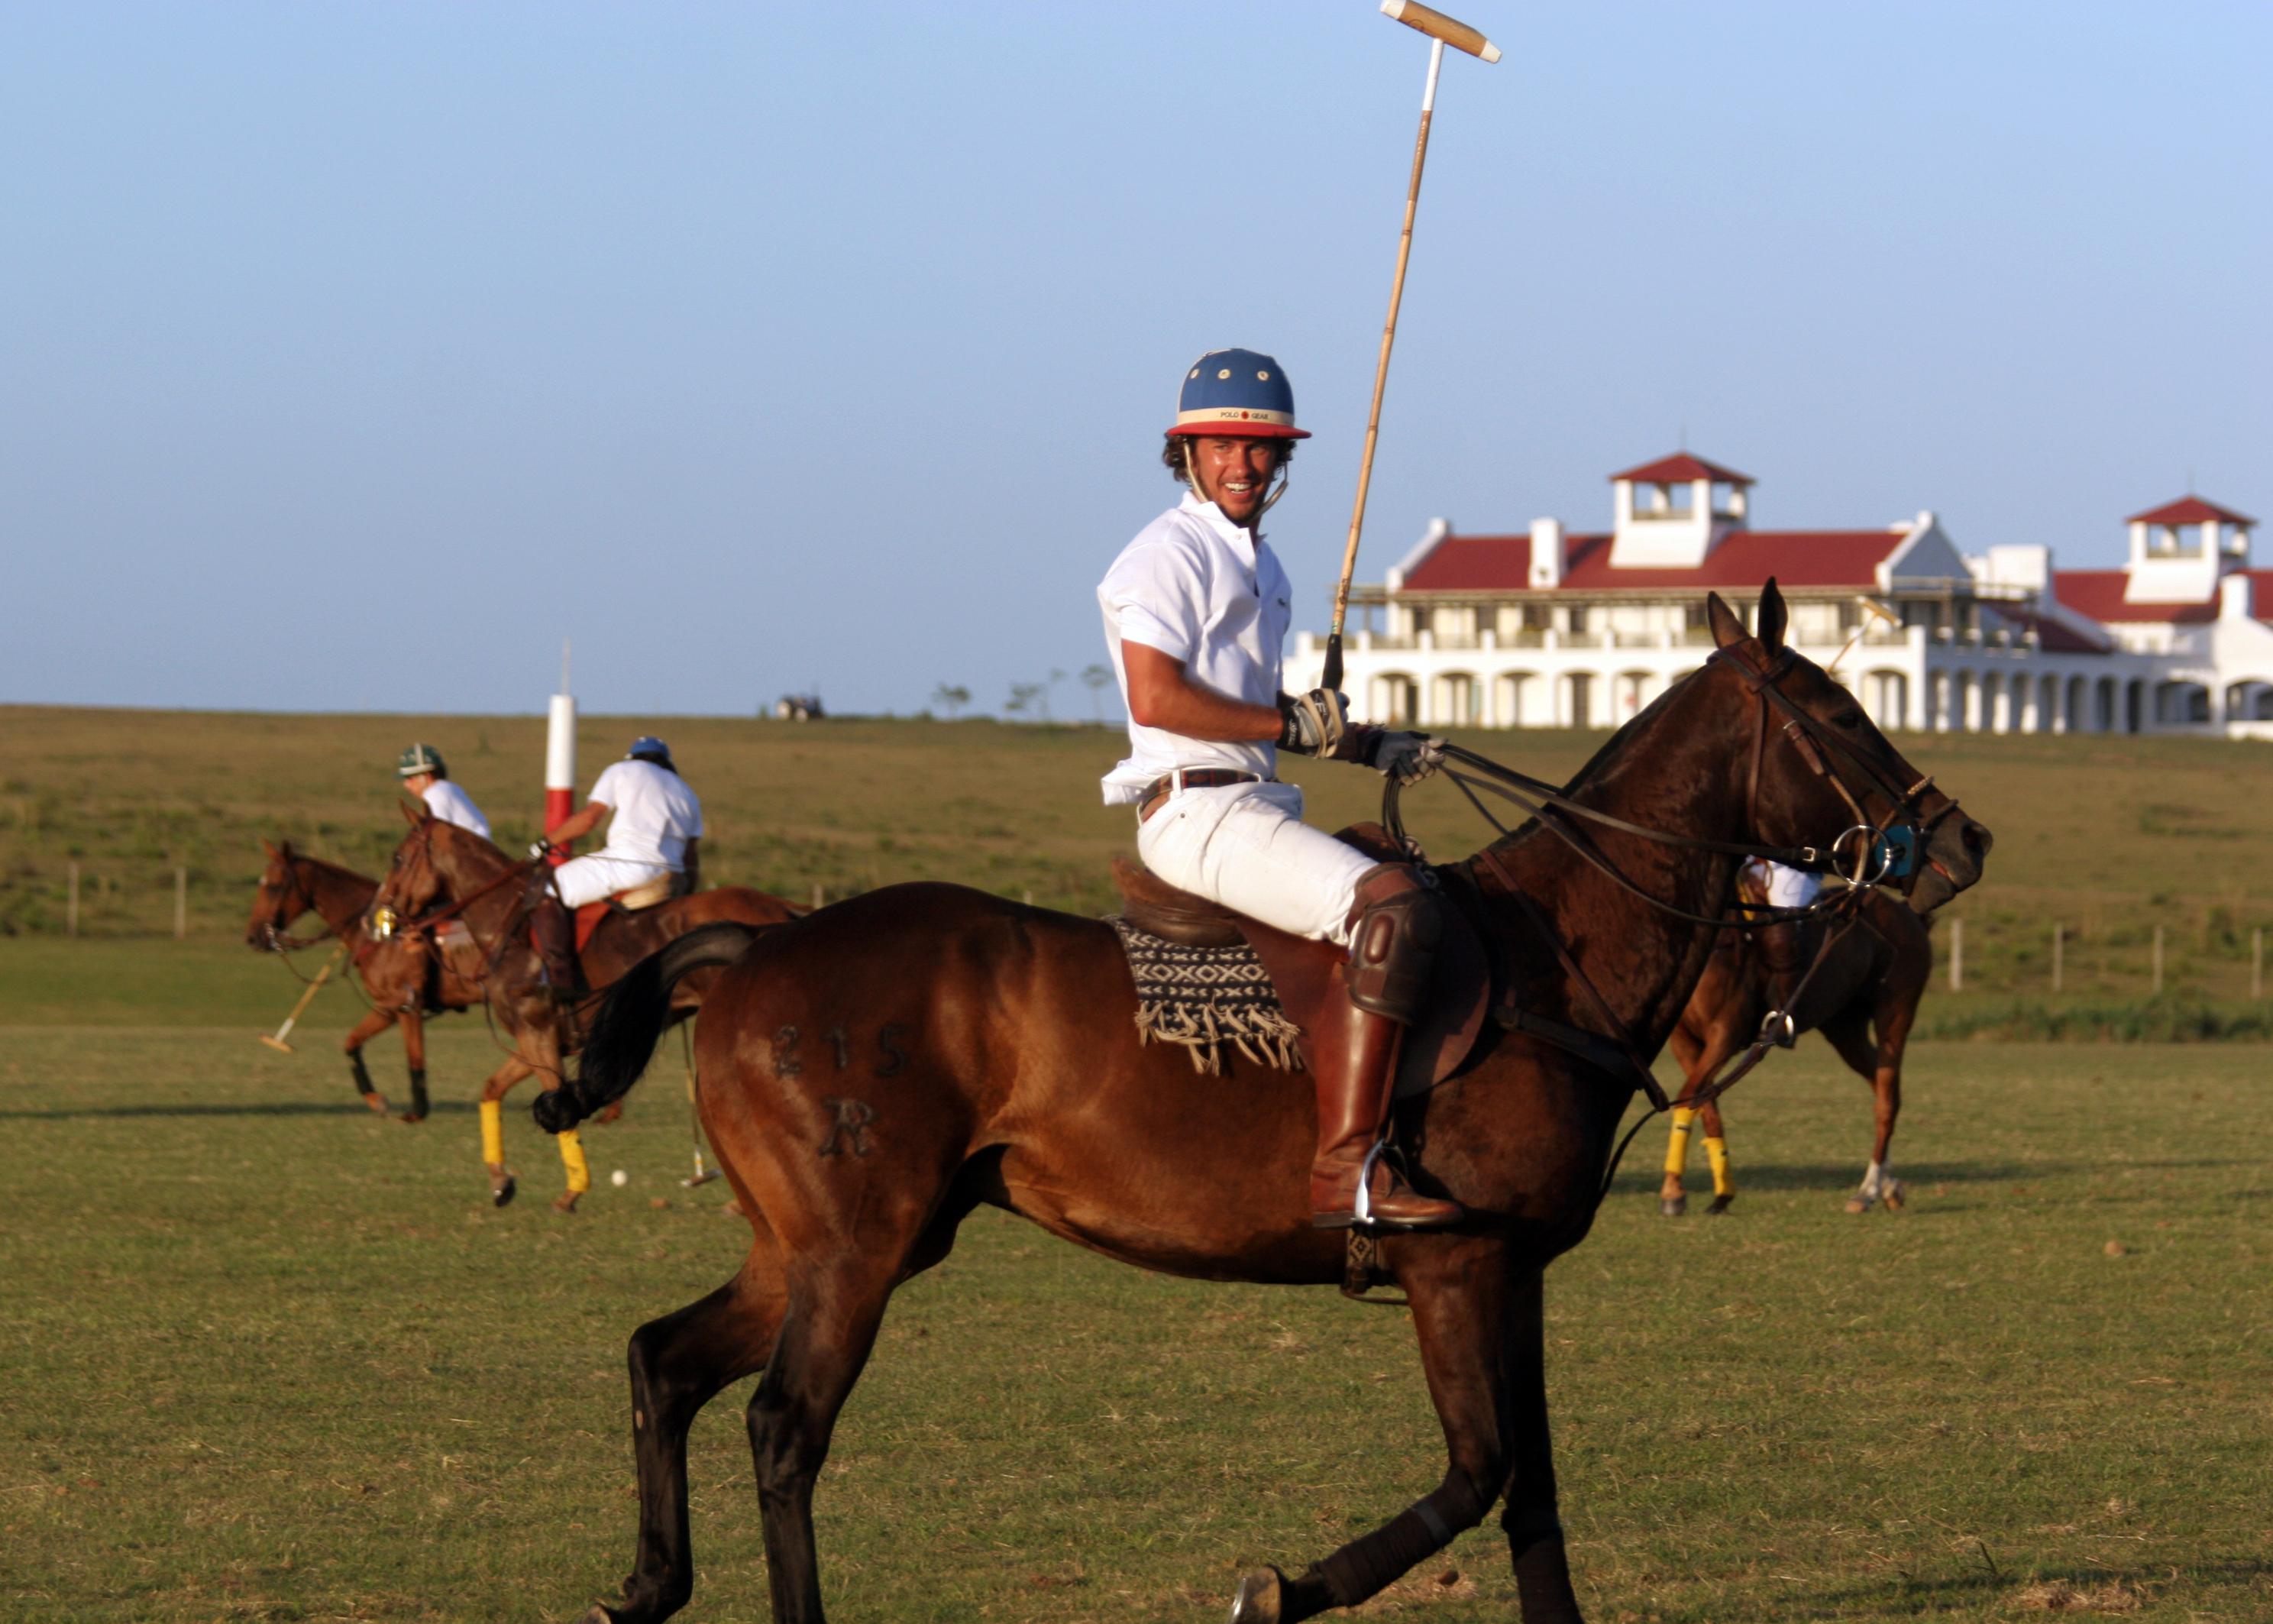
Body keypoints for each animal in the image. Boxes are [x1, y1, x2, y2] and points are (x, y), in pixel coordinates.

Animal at [244, 836, 483, 1114]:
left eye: (274, 887)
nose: (252, 938)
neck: (379, 935)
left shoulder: (406, 1004)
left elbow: (415, 1060)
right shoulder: (386, 1007)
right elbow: (352, 1042)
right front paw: (376, 1099)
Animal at [368, 814, 804, 1210]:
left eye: (399, 857)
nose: (381, 919)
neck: (507, 927)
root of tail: (780, 906)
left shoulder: (538, 1030)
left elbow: (556, 1100)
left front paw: (572, 1190)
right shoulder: (537, 1039)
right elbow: (491, 1089)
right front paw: (500, 1181)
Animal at [1654, 869, 1936, 1210]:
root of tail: (1910, 914)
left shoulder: (1725, 1034)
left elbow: (1690, 1097)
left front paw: (1673, 1191)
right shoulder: (1684, 1041)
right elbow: (1705, 1103)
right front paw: (1721, 1190)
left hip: (1895, 1013)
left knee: (1887, 1098)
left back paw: (1867, 1190)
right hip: (1844, 1027)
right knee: (1881, 1084)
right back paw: (1888, 1185)